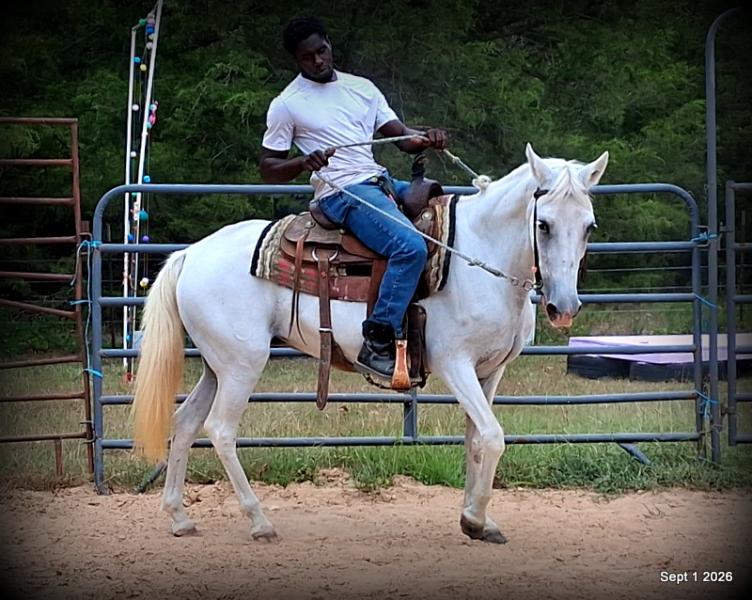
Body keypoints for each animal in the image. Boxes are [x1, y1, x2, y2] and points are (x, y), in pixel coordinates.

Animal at [132, 143, 608, 543]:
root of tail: (190, 254)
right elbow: (493, 436)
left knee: (186, 423)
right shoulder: (455, 364)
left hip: (217, 365)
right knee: (221, 430)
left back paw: (179, 516)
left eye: (588, 226)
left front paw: (480, 519)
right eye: (543, 224)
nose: (564, 307)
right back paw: (259, 521)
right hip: (242, 365)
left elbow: (476, 440)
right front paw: (473, 520)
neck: (479, 255)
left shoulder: (491, 371)